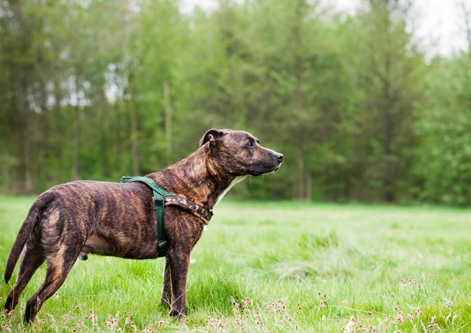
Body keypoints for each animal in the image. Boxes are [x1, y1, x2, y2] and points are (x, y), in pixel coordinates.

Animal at [2, 127, 284, 322]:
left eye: (257, 141)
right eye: (249, 144)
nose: (280, 156)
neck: (194, 181)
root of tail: (48, 195)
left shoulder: (171, 256)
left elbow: (167, 291)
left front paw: (166, 316)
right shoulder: (182, 253)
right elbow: (180, 293)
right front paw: (181, 319)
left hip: (32, 255)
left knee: (13, 295)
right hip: (62, 261)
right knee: (33, 301)